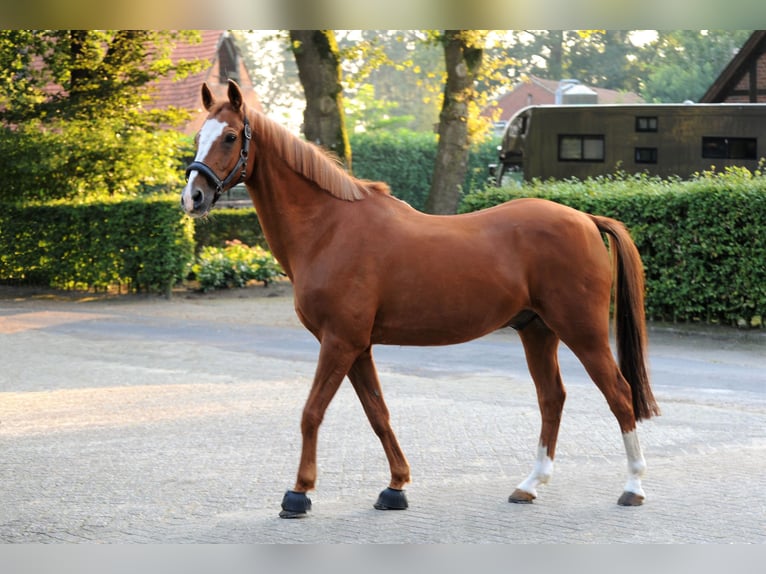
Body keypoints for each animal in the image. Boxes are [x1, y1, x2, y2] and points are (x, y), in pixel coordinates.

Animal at [180, 82, 660, 520]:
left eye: (229, 136)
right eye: (199, 135)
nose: (193, 197)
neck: (329, 228)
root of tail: (586, 218)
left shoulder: (339, 342)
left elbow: (312, 412)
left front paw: (298, 494)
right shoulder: (358, 347)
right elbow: (378, 414)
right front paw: (395, 487)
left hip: (582, 331)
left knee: (619, 394)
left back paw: (633, 487)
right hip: (537, 330)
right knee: (552, 398)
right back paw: (530, 484)